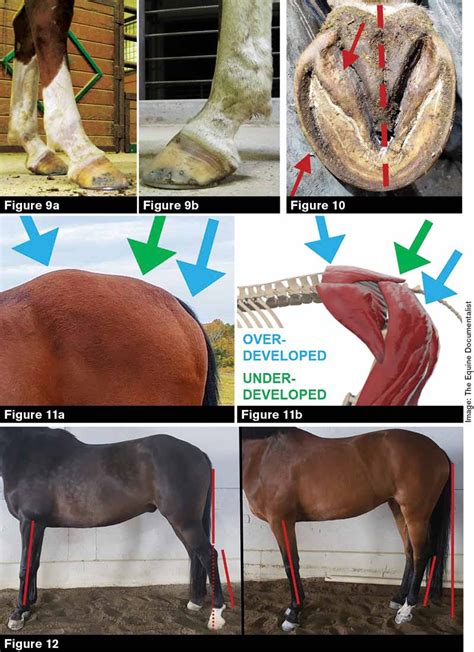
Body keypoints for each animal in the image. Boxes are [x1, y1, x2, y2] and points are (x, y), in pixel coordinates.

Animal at [0, 427, 226, 631]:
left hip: (184, 521)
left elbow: (25, 566)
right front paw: (27, 607)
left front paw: (17, 614)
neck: (24, 453)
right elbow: (34, 564)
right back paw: (195, 602)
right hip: (183, 523)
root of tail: (199, 454)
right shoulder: (38, 524)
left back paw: (216, 614)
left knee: (208, 554)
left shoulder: (29, 521)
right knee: (195, 555)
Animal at [242, 427, 451, 632]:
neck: (265, 455)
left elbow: (290, 563)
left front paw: (293, 614)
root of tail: (438, 451)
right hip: (398, 508)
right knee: (409, 552)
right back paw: (399, 599)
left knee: (421, 555)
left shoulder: (281, 521)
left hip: (416, 514)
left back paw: (406, 610)